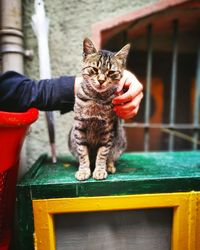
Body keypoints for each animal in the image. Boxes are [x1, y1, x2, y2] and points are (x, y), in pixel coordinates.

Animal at [69, 38, 130, 181]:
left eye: (111, 72)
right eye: (94, 69)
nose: (101, 80)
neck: (97, 99)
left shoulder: (108, 131)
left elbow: (102, 154)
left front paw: (100, 170)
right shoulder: (79, 127)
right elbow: (82, 153)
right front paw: (84, 170)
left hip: (120, 139)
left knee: (111, 156)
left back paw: (110, 166)